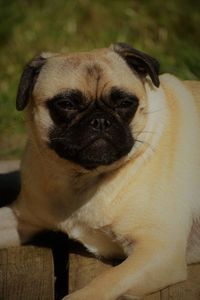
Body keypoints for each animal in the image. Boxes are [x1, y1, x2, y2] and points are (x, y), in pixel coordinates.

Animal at [0, 42, 200, 300]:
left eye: (125, 103)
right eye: (66, 104)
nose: (100, 121)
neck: (82, 180)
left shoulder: (158, 249)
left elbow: (107, 280)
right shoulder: (21, 218)